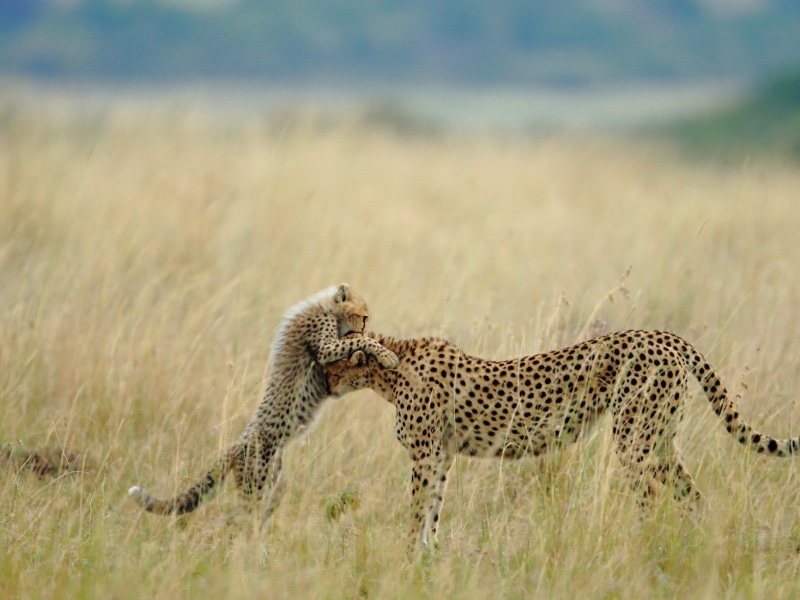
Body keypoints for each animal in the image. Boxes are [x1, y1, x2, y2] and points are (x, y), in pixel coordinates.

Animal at [128, 283, 399, 524]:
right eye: (363, 316)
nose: (365, 327)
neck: (327, 308)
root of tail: (235, 446)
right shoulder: (325, 348)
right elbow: (355, 344)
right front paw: (386, 354)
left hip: (275, 483)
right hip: (255, 486)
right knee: (240, 517)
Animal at [323, 330, 800, 551]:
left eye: (329, 365)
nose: (323, 386)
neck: (387, 368)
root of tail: (664, 335)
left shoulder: (426, 456)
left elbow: (417, 512)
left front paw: (408, 560)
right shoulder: (440, 456)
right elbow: (432, 513)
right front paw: (429, 558)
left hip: (633, 437)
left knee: (649, 493)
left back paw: (642, 547)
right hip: (661, 439)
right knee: (693, 495)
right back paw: (689, 547)